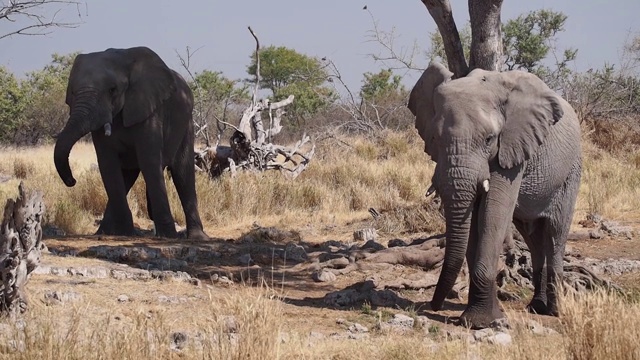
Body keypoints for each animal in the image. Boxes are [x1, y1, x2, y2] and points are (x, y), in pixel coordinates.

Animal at [53, 46, 208, 240]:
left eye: (112, 90)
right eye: (72, 92)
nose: (72, 181)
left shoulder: (149, 110)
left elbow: (149, 161)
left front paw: (167, 236)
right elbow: (108, 165)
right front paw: (125, 233)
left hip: (187, 123)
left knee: (182, 174)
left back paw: (197, 237)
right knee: (127, 176)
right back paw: (104, 232)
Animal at [408, 62, 584, 330]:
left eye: (489, 139)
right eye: (435, 138)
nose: (433, 306)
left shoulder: (511, 147)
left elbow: (493, 216)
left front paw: (480, 322)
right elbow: (474, 222)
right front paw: (482, 318)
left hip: (571, 171)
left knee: (555, 233)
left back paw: (554, 311)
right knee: (534, 238)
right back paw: (536, 307)